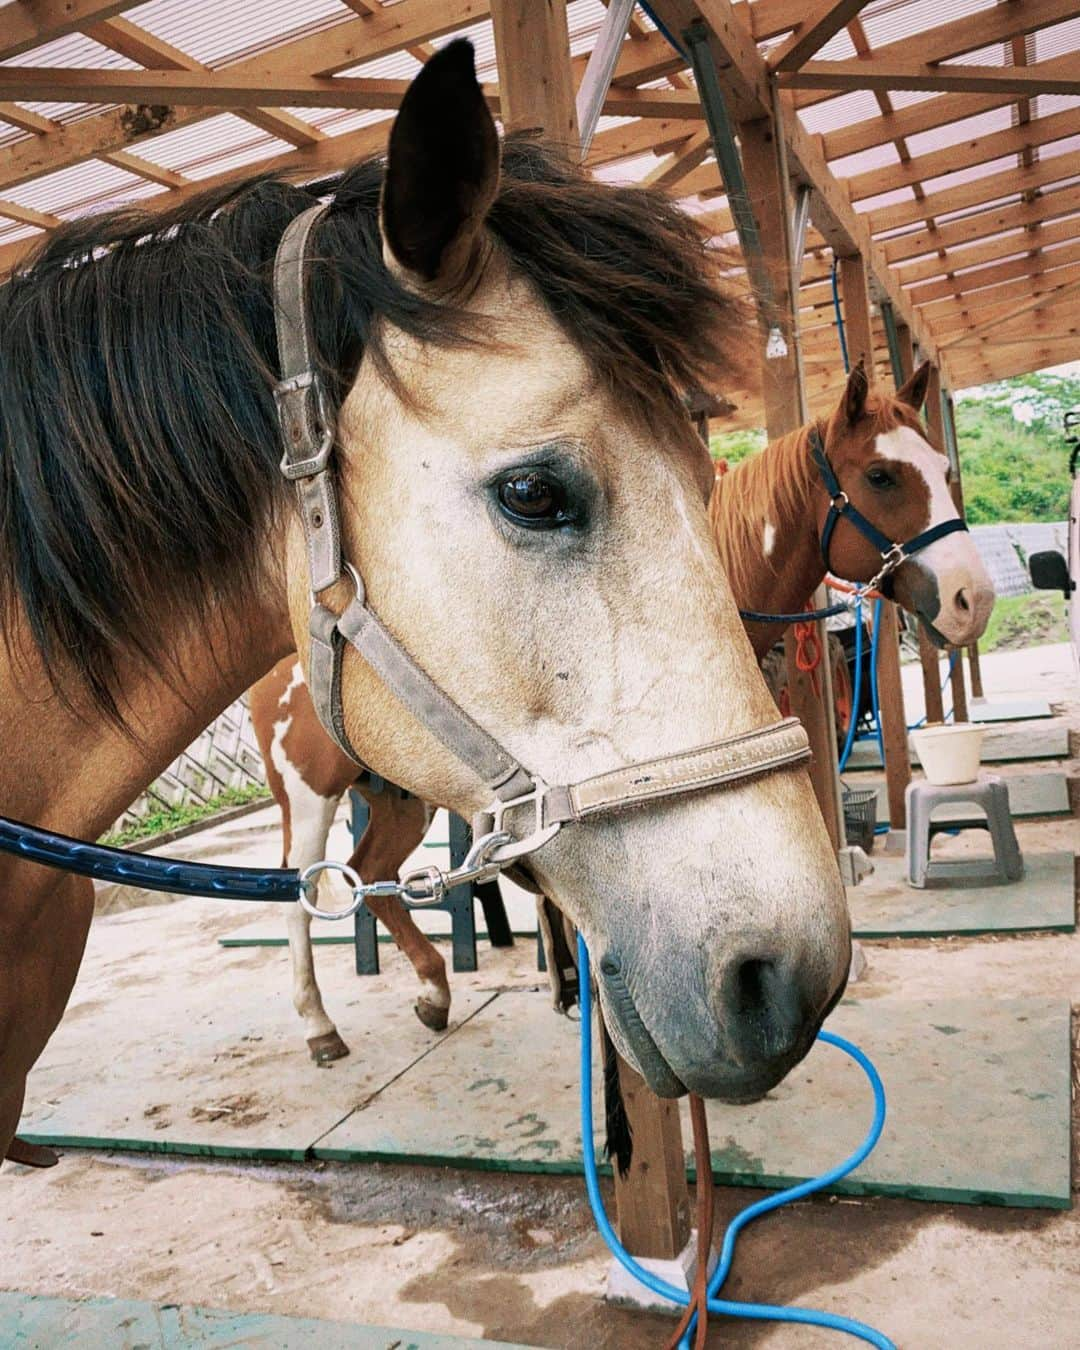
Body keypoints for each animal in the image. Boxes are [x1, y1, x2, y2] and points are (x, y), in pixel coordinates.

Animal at [248, 364, 993, 1058]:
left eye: (944, 470)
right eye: (881, 476)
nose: (972, 598)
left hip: (403, 801)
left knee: (372, 876)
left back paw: (433, 991)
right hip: (309, 801)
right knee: (300, 894)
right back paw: (319, 1026)